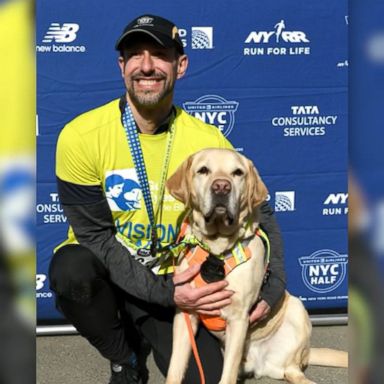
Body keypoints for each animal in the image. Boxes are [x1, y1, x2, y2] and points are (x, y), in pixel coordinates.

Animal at [165, 148, 348, 384]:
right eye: (203, 170)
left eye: (237, 172)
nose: (221, 186)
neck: (216, 249)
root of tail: (260, 364)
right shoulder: (186, 312)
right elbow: (175, 368)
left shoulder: (239, 318)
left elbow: (227, 375)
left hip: (297, 310)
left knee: (295, 371)